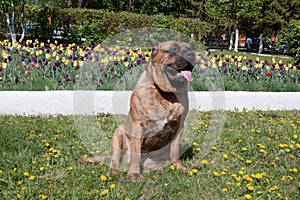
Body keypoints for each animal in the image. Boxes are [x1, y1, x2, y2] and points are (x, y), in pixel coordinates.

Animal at [78, 39, 195, 181]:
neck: (166, 93)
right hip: (118, 134)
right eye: (173, 49)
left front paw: (179, 167)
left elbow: (175, 151)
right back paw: (114, 171)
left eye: (190, 48)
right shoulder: (138, 126)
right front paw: (133, 174)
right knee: (115, 159)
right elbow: (136, 153)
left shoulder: (179, 126)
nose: (191, 54)